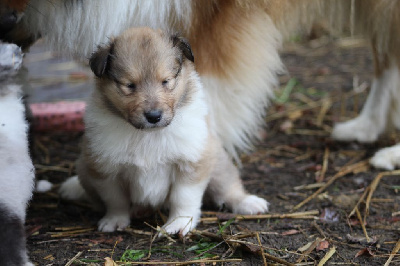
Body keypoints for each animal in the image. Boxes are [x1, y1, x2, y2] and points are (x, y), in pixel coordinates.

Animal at [57, 27, 268, 235]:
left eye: (166, 81)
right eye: (129, 85)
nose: (153, 116)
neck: (148, 135)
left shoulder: (191, 162)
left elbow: (183, 197)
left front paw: (178, 224)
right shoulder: (105, 169)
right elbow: (116, 200)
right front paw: (114, 220)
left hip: (215, 159)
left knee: (228, 187)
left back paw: (249, 203)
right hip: (84, 168)